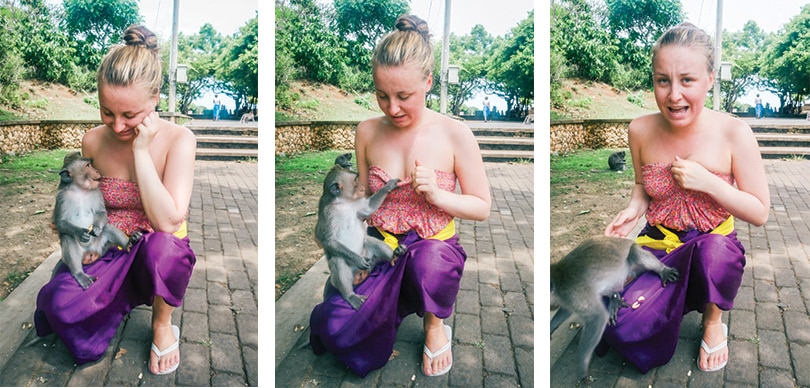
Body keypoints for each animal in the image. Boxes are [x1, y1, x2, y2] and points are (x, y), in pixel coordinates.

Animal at [53, 152, 142, 288]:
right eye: (87, 165)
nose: (96, 170)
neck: (80, 190)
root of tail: (90, 252)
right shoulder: (61, 197)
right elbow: (61, 223)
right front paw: (80, 232)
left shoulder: (96, 192)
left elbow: (101, 213)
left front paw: (96, 228)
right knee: (67, 237)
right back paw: (79, 274)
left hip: (101, 247)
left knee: (107, 228)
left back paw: (129, 243)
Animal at [314, 153, 408, 310]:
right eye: (356, 180)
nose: (362, 185)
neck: (344, 203)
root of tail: (360, 274)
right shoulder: (327, 214)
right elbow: (328, 240)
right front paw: (358, 259)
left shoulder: (357, 204)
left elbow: (369, 208)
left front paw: (388, 186)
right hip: (345, 274)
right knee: (338, 260)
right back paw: (350, 295)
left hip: (370, 257)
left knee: (369, 241)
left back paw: (395, 255)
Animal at [548, 235, 676, 380]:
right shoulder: (568, 297)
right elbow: (567, 310)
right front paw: (550, 327)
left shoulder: (572, 293)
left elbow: (597, 317)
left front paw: (582, 365)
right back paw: (615, 299)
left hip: (632, 264)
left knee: (634, 254)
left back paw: (662, 270)